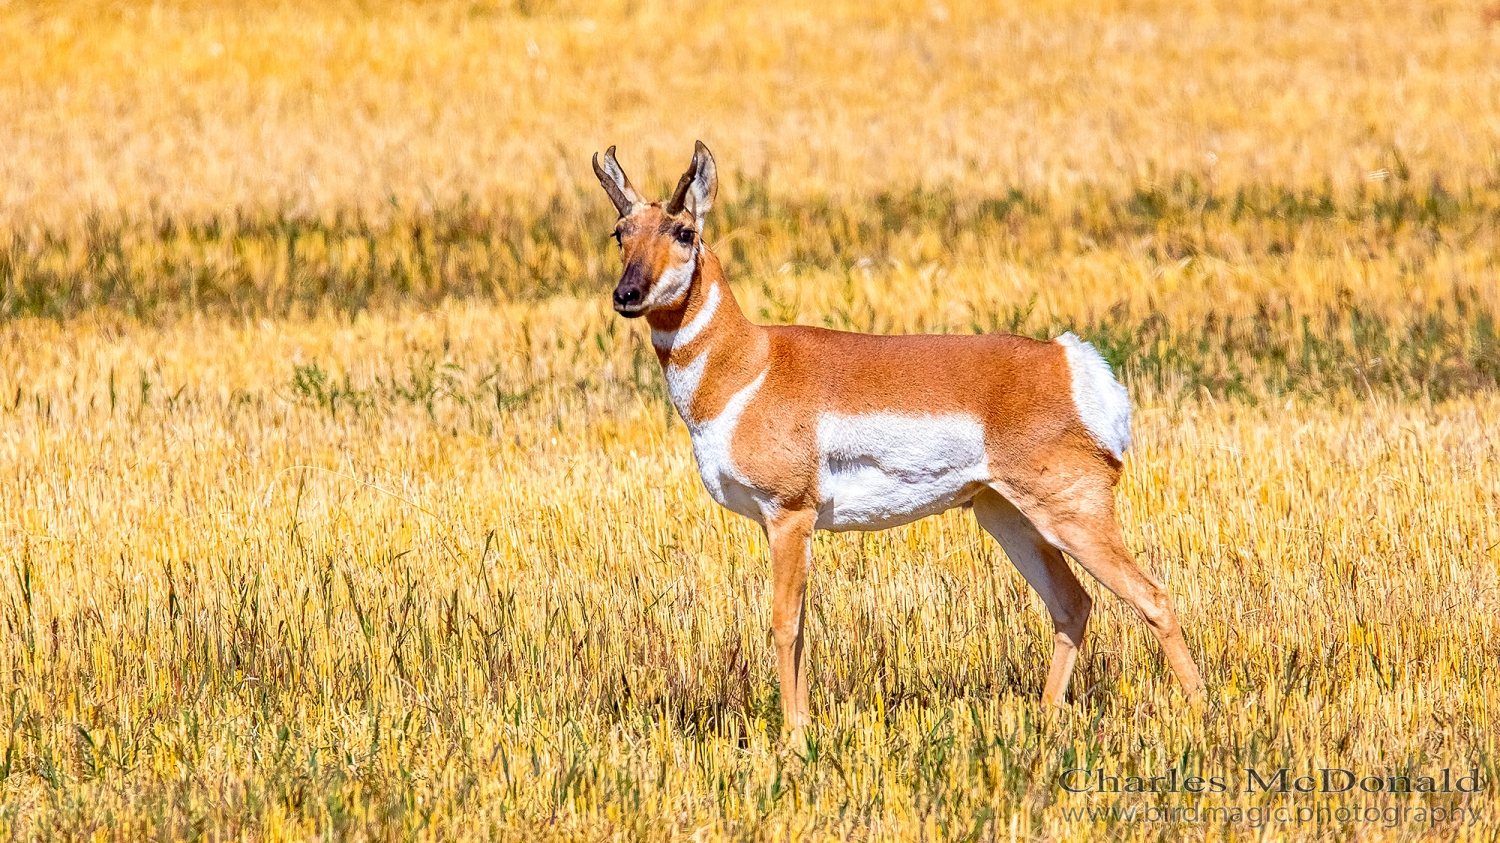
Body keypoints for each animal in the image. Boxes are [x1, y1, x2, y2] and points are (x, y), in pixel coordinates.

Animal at [591, 141, 1200, 732]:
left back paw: (1199, 712)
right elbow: (803, 629)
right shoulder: (787, 525)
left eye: (684, 232)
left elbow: (784, 624)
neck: (749, 363)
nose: (627, 294)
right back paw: (1046, 722)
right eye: (621, 232)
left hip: (1072, 514)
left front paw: (793, 740)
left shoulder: (789, 515)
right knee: (1073, 604)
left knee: (1153, 596)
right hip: (1010, 518)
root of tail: (1063, 358)